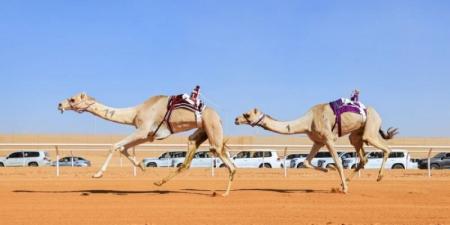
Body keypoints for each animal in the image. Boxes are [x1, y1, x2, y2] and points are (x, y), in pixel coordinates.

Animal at [57, 92, 236, 196]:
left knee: (225, 159)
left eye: (72, 99)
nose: (59, 104)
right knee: (190, 155)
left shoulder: (143, 129)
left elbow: (114, 145)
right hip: (203, 131)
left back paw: (224, 194)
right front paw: (142, 166)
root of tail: (218, 116)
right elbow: (124, 148)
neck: (135, 112)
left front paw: (97, 174)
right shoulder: (148, 135)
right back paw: (159, 182)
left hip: (212, 127)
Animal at [236, 103, 398, 193]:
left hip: (371, 125)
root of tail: (376, 113)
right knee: (363, 157)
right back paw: (343, 182)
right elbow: (306, 162)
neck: (308, 121)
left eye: (247, 114)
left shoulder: (328, 139)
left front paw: (344, 188)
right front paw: (328, 170)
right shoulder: (318, 141)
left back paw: (378, 177)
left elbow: (339, 162)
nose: (236, 119)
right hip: (357, 134)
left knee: (386, 149)